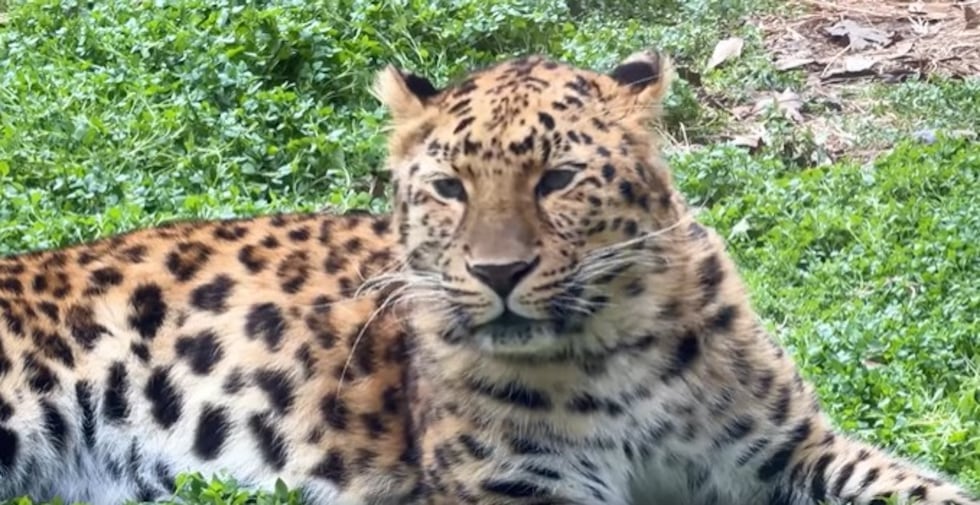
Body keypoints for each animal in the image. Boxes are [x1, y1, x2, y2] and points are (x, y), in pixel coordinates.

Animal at [0, 47, 977, 505]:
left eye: (557, 178)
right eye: (448, 187)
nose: (498, 271)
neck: (617, 351)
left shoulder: (791, 448)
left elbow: (915, 485)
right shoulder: (517, 488)